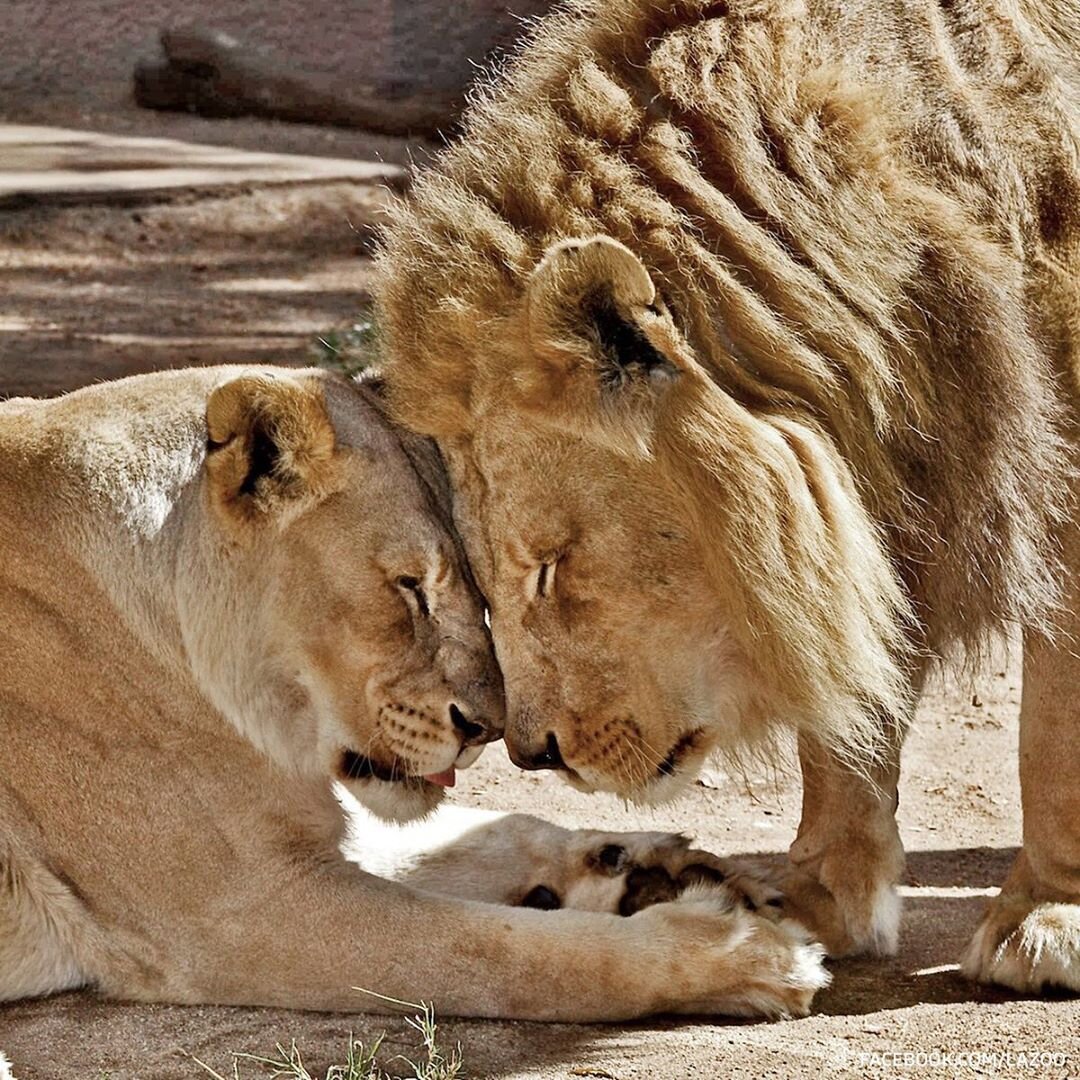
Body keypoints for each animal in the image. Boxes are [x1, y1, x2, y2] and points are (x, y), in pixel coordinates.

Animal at [0, 367, 825, 1015]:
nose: (488, 728)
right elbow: (523, 958)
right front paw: (751, 955)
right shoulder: (241, 915)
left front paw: (647, 865)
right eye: (410, 588)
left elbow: (497, 829)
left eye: (479, 586)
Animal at [375, 0, 1080, 989]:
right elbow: (843, 708)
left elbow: (1056, 729)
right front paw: (808, 903)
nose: (531, 753)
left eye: (551, 567)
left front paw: (1048, 918)